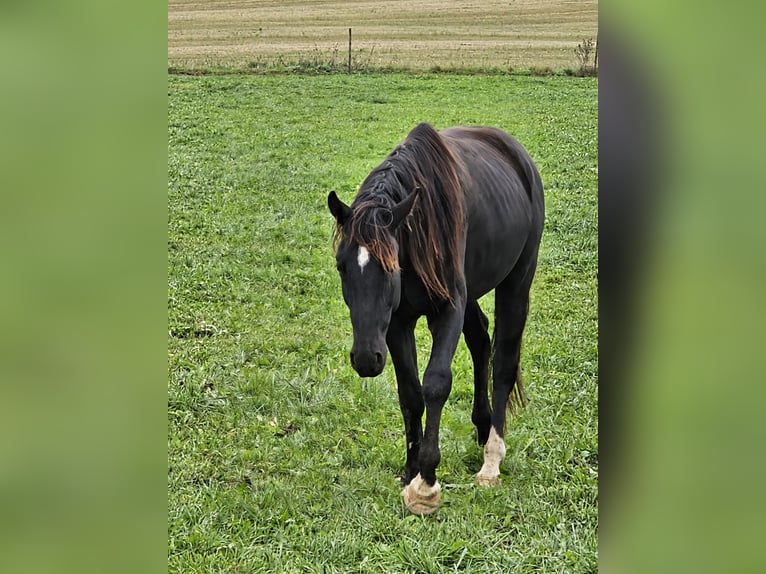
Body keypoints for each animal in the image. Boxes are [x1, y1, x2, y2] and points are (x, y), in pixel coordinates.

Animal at [330, 122, 544, 516]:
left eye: (390, 268)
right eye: (341, 266)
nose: (366, 359)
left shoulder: (448, 309)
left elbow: (435, 383)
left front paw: (426, 483)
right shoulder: (397, 322)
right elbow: (411, 393)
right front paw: (411, 470)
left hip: (517, 280)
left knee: (504, 361)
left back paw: (492, 459)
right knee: (480, 340)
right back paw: (482, 426)